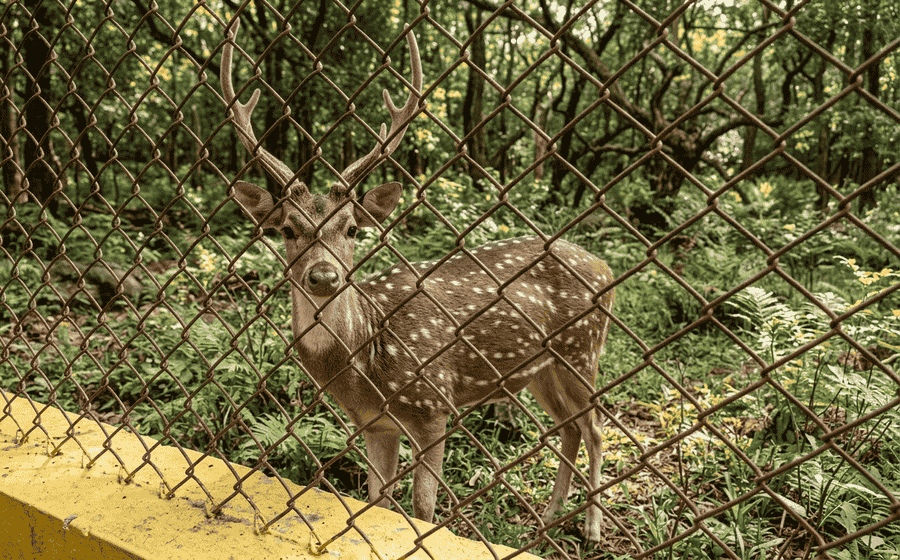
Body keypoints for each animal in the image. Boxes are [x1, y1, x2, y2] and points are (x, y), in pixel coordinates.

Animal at [220, 20, 614, 542]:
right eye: (286, 228)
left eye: (352, 228)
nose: (323, 275)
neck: (367, 360)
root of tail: (606, 268)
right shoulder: (373, 425)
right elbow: (375, 502)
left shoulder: (433, 406)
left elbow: (422, 508)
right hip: (541, 368)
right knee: (570, 427)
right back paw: (549, 517)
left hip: (582, 349)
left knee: (595, 428)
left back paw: (590, 528)